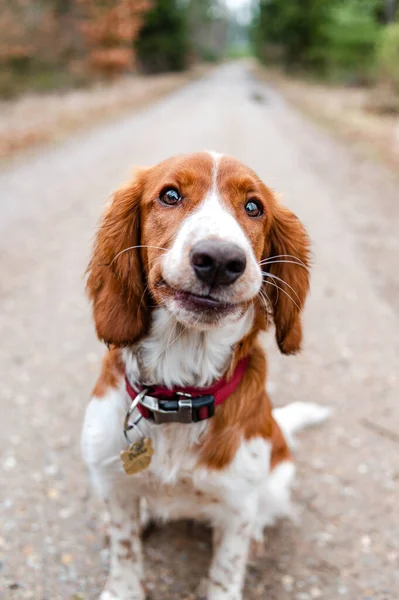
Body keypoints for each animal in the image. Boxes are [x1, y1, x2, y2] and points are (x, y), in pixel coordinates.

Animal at [82, 152, 332, 596]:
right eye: (170, 195)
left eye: (253, 207)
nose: (219, 260)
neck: (179, 395)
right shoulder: (111, 481)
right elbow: (125, 547)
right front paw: (123, 589)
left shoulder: (237, 506)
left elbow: (226, 569)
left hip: (277, 477)